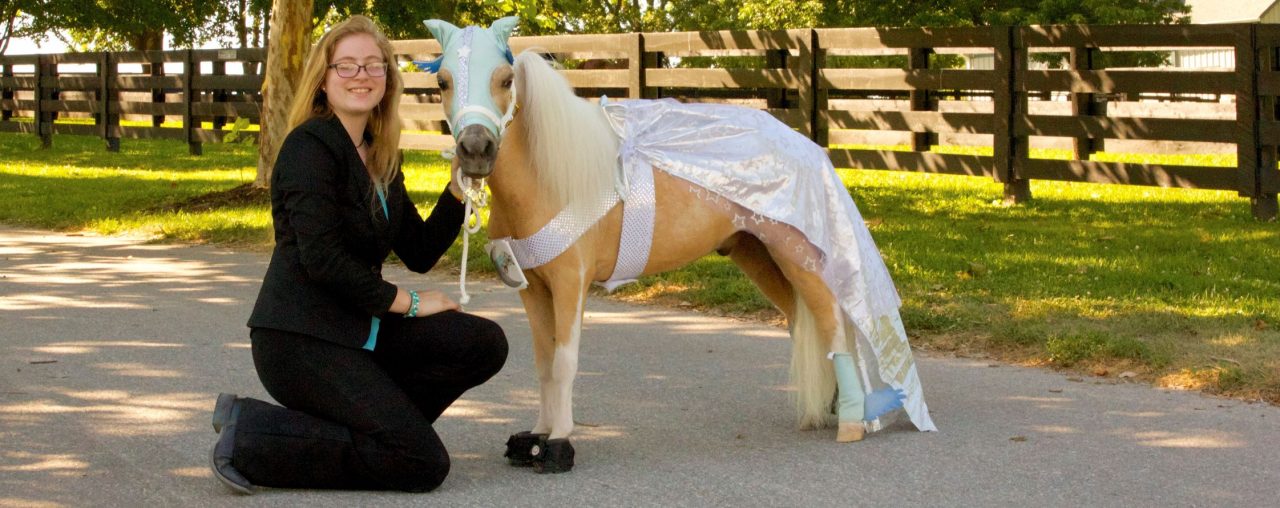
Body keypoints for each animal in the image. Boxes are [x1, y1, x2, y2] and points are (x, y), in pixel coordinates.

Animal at [422, 17, 936, 473]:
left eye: (506, 79)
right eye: (443, 81)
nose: (475, 150)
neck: (554, 177)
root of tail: (805, 144)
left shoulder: (570, 283)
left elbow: (565, 362)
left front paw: (560, 444)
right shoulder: (533, 290)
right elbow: (544, 363)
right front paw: (536, 436)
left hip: (797, 255)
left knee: (830, 323)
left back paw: (851, 420)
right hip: (757, 255)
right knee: (801, 320)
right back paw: (829, 406)